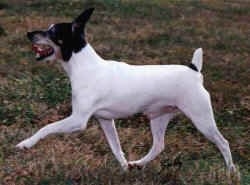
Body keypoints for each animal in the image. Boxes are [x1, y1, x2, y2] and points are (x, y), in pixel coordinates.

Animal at [16, 7, 235, 173]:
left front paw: (26, 143)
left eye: (52, 33)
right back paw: (137, 164)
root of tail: (194, 70)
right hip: (159, 117)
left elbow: (47, 128)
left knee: (223, 142)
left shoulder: (78, 120)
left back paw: (231, 172)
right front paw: (123, 168)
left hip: (202, 119)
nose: (28, 34)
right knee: (158, 146)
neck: (84, 65)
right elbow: (116, 148)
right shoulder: (105, 120)